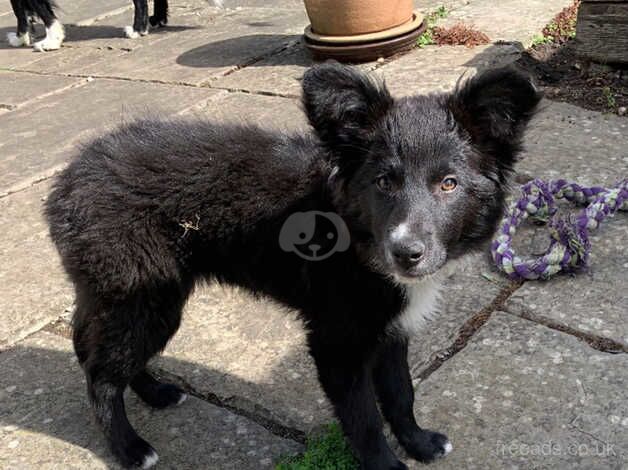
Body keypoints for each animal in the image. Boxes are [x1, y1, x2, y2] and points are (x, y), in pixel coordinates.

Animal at [6, 0, 172, 51]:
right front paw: (22, 37)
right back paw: (158, 19)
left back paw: (138, 29)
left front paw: (52, 40)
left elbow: (40, 9)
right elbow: (19, 9)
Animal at [45, 63, 540, 470]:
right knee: (102, 375)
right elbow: (364, 418)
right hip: (143, 296)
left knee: (103, 353)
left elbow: (400, 393)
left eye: (448, 183)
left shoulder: (390, 328)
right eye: (383, 182)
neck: (354, 235)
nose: (406, 253)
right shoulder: (336, 342)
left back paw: (156, 393)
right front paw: (388, 466)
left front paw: (418, 443)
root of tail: (68, 181)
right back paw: (129, 448)